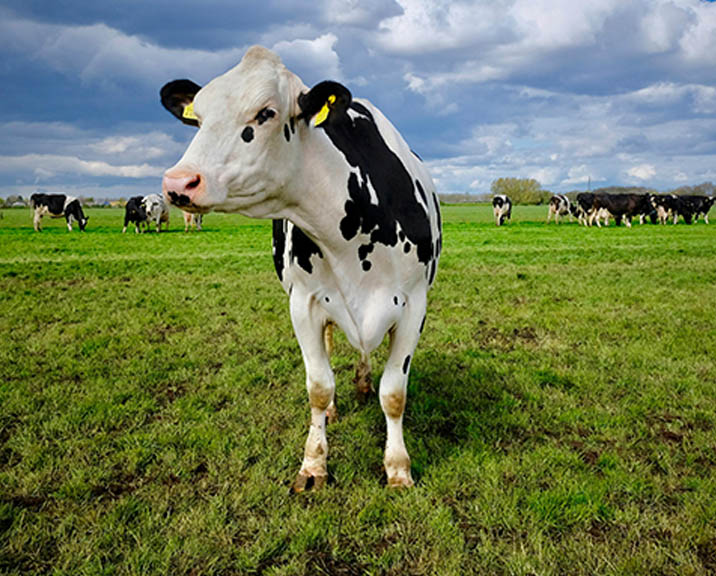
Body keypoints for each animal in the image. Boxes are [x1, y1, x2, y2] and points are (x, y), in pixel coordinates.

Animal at [160, 46, 441, 490]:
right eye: (198, 117)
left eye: (266, 113)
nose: (179, 183)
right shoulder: (304, 304)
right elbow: (319, 386)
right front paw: (313, 465)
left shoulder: (414, 305)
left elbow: (394, 392)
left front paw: (398, 468)